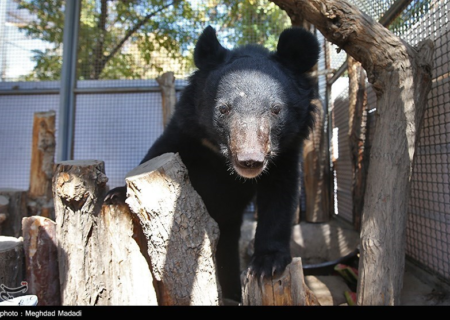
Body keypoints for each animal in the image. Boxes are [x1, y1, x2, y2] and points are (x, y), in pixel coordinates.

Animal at [104, 25, 320, 302]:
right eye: (223, 109)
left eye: (276, 109)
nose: (250, 160)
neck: (221, 155)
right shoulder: (189, 131)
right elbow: (160, 150)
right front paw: (116, 194)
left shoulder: (286, 151)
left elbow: (280, 196)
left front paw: (267, 264)